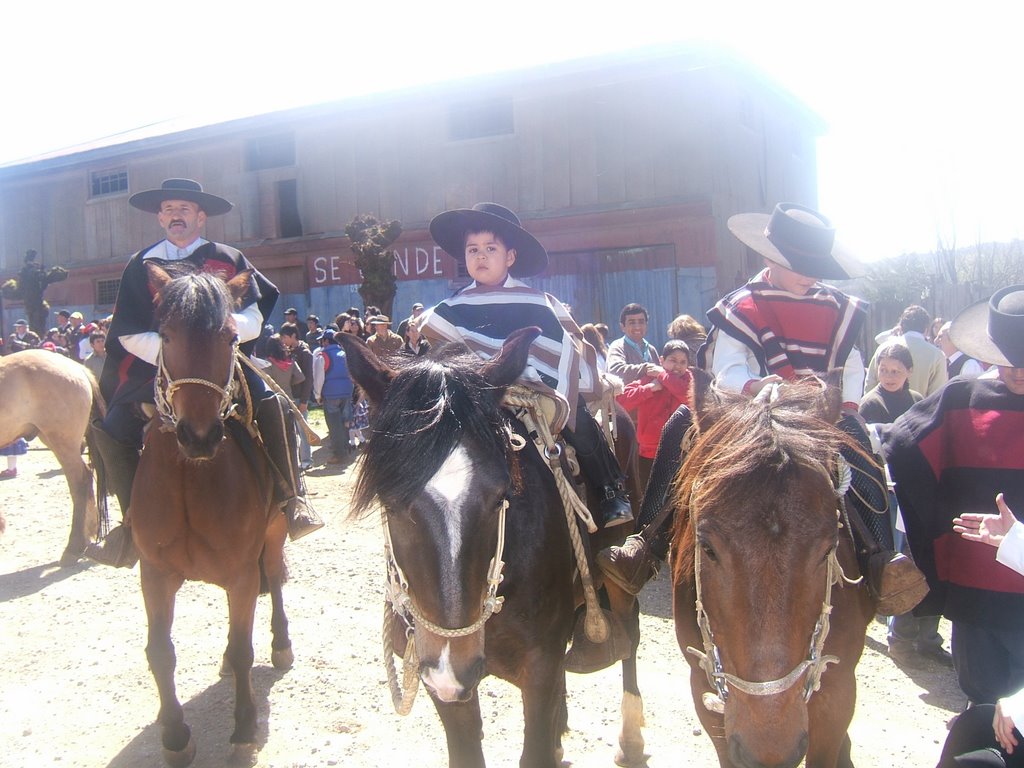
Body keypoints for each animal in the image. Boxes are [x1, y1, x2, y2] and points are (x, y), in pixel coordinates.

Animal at [130, 266, 292, 768]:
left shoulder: (241, 572)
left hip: (275, 531)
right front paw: (175, 736)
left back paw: (281, 644)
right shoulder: (154, 573)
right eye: (166, 334)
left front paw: (242, 729)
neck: (191, 478)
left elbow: (243, 651)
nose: (198, 436)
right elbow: (160, 653)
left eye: (230, 337)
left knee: (274, 578)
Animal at [344, 331, 647, 768]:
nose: (454, 663)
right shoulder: (443, 679)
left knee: (629, 631)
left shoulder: (537, 666)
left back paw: (630, 737)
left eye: (500, 495)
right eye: (390, 501)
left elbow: (535, 750)